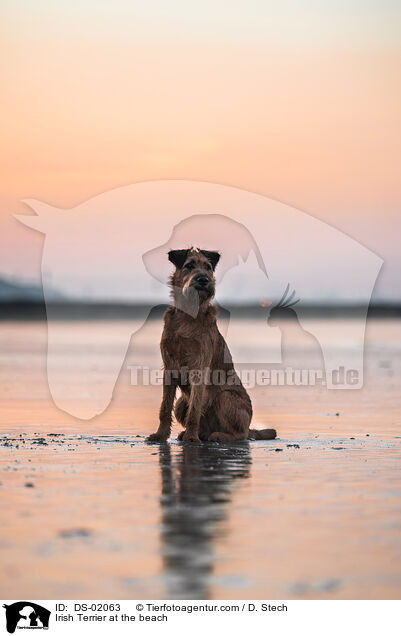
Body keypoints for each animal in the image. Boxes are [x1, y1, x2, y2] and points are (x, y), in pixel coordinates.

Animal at [146, 248, 276, 442]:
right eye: (189, 265)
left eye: (208, 267)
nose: (203, 280)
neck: (188, 315)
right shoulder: (169, 368)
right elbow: (164, 407)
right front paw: (160, 435)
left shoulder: (199, 367)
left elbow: (194, 411)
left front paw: (192, 438)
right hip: (181, 403)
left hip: (226, 397)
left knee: (241, 434)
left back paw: (217, 436)